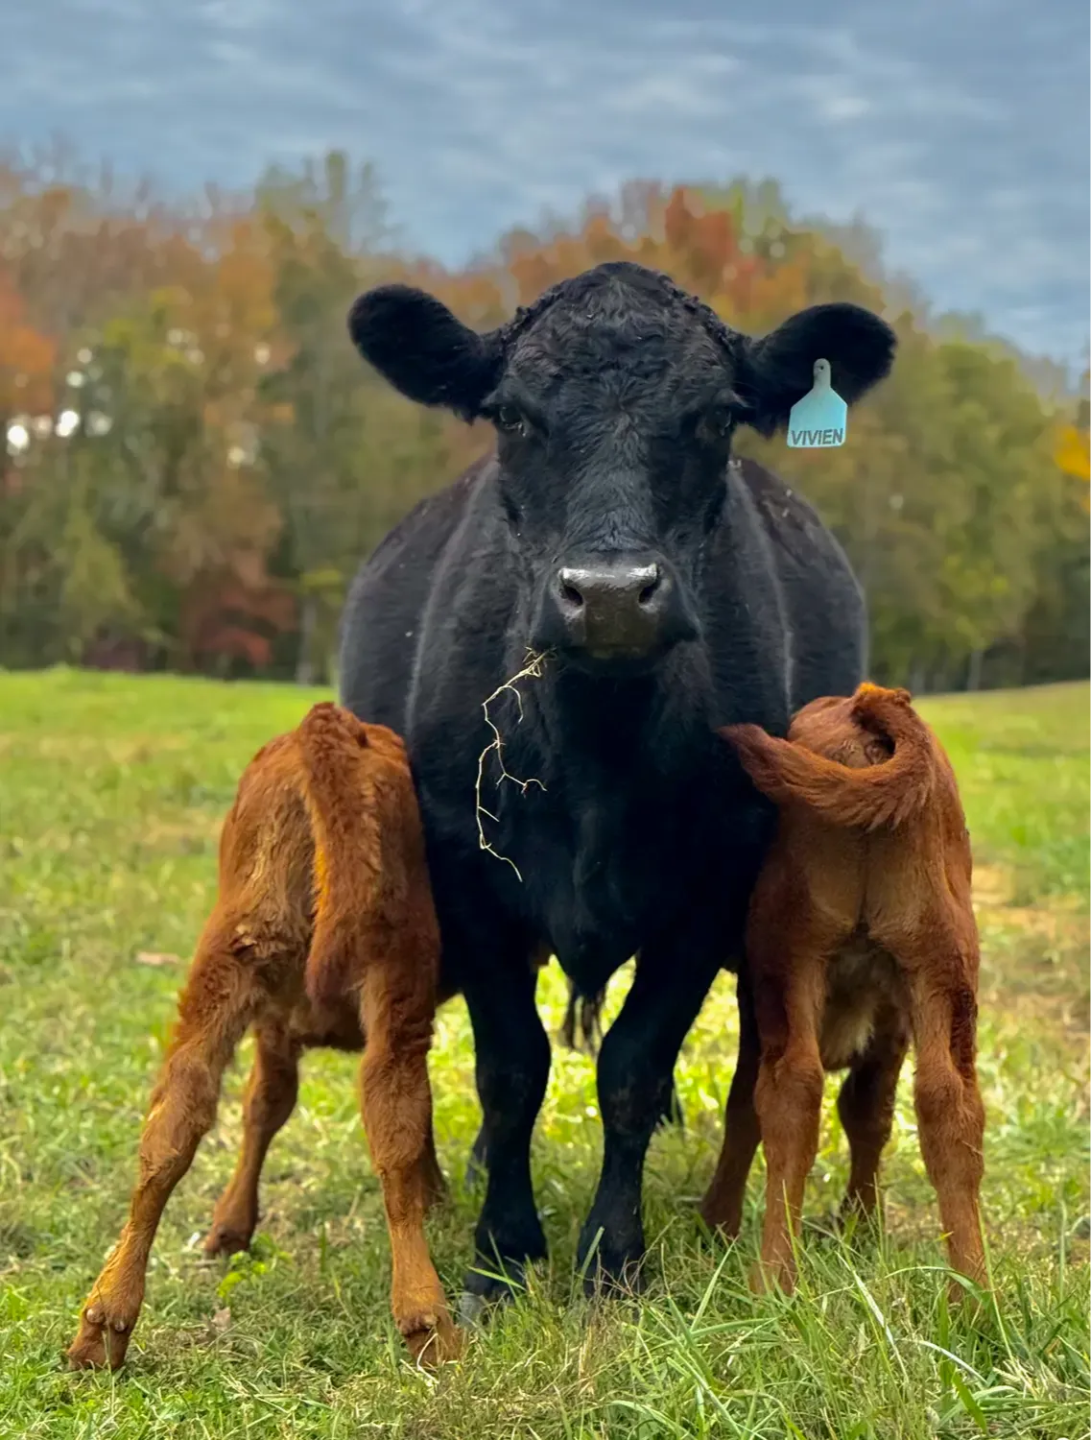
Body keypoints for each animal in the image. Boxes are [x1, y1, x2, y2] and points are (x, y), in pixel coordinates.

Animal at [339, 260, 896, 1312]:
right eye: (512, 415)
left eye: (715, 416)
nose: (606, 595)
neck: (596, 751)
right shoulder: (464, 870)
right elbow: (510, 1068)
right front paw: (502, 1253)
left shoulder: (715, 880)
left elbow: (634, 1064)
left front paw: (610, 1255)